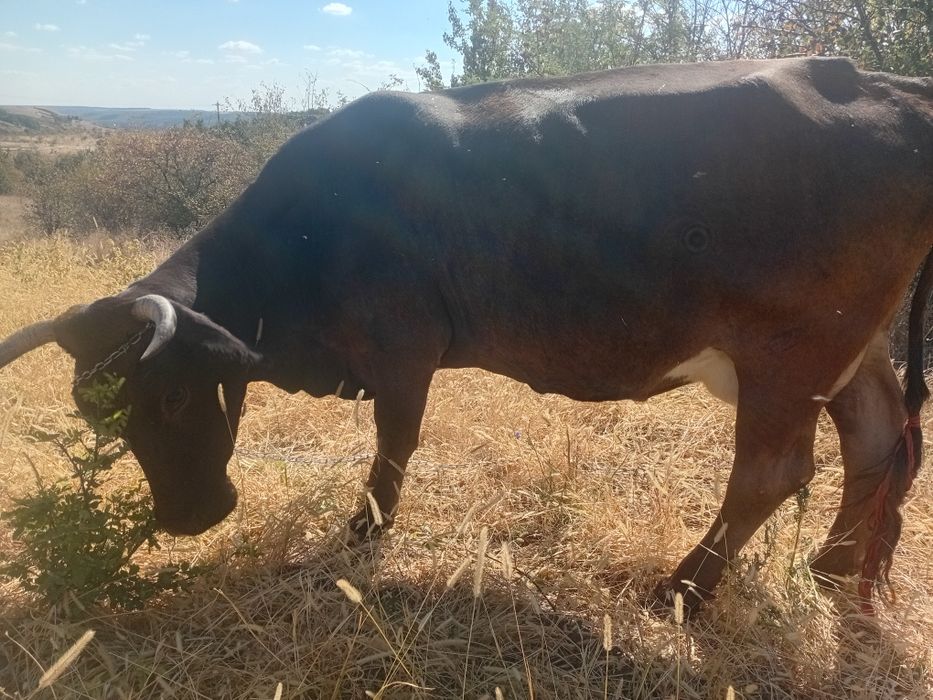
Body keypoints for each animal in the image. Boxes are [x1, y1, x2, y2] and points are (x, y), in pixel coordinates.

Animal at [1, 57, 932, 612]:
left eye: (169, 395)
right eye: (98, 412)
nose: (188, 517)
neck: (308, 230)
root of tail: (873, 79)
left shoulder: (403, 353)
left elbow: (391, 452)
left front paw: (359, 539)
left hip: (790, 351)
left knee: (772, 473)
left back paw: (682, 589)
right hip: (847, 350)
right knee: (876, 441)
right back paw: (831, 571)